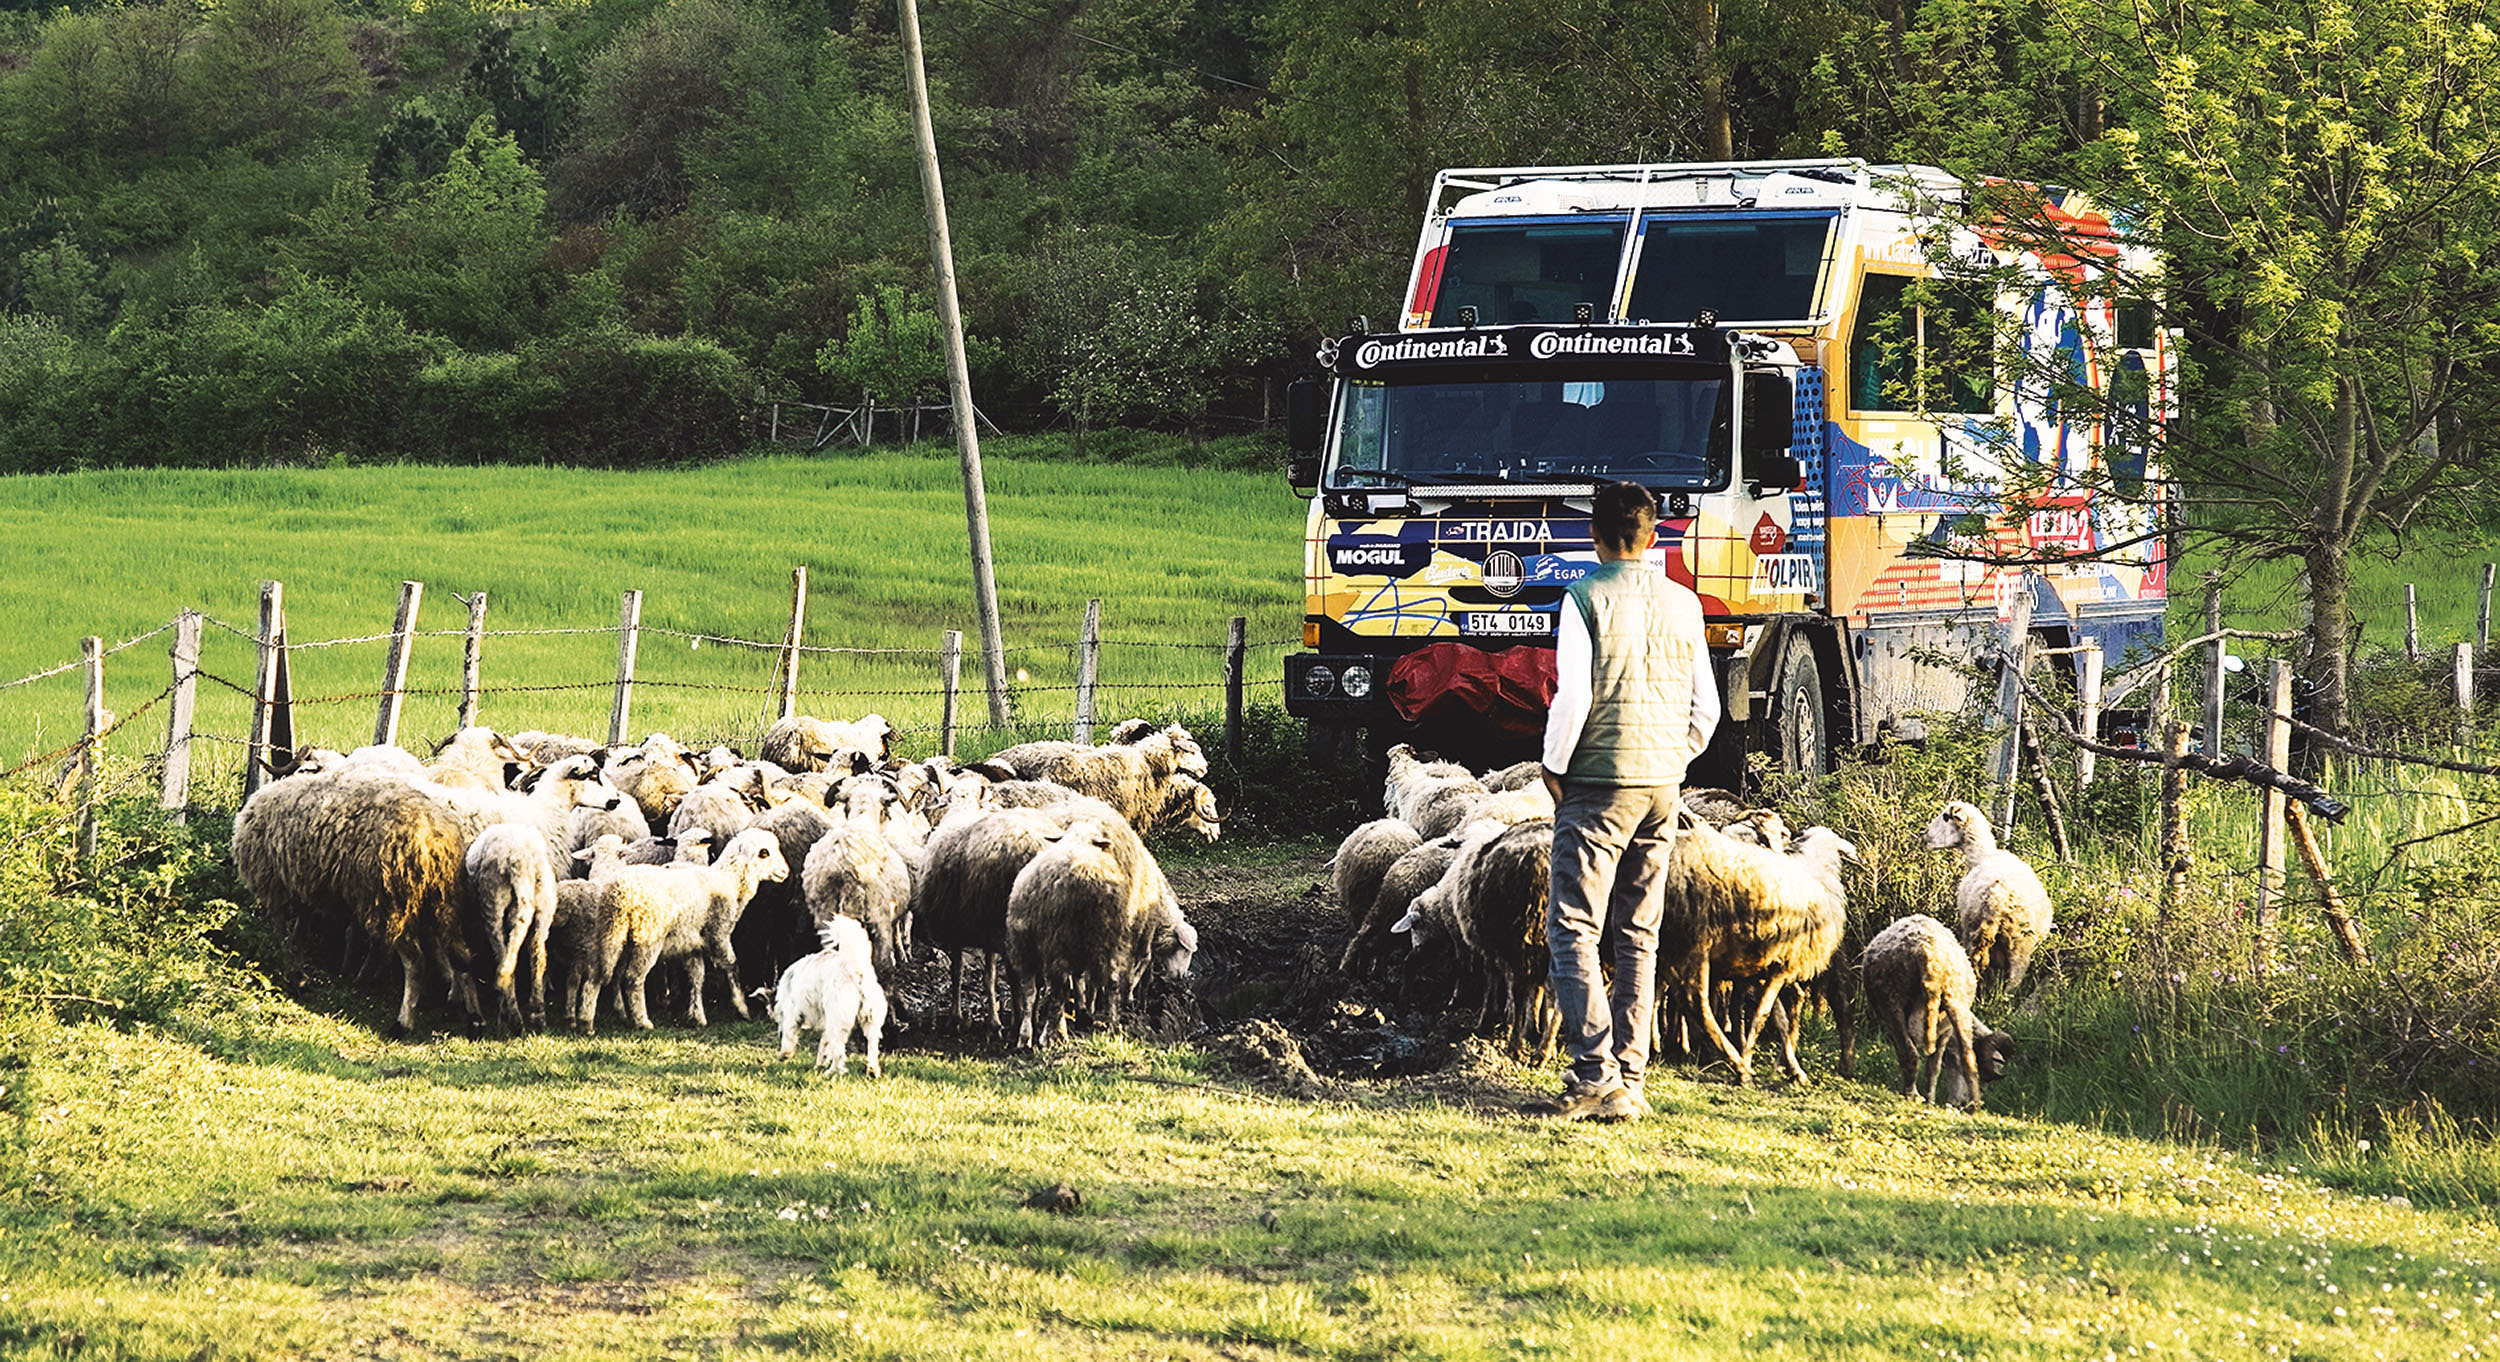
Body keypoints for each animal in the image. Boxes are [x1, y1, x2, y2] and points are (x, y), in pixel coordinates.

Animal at [770, 914, 890, 1074]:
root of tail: (855, 970)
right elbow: (824, 1046)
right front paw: (819, 1063)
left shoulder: (792, 1014)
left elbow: (788, 1038)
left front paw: (784, 1055)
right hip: (869, 1021)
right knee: (872, 1046)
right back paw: (872, 1070)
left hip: (838, 1023)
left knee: (839, 1053)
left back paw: (833, 1072)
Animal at [1660, 819, 1860, 1084]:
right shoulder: (1782, 966)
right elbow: (1763, 1015)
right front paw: (1750, 1059)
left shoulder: (1764, 967)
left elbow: (1776, 1015)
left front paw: (1785, 1065)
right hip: (1693, 944)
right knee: (1695, 1000)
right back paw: (1736, 1065)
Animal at [1860, 914, 2010, 1104]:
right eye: (1985, 1077)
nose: (1961, 1101)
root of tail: (1927, 955)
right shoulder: (1947, 1030)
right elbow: (1939, 1065)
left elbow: (1934, 1064)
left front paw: (1931, 1098)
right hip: (1954, 1001)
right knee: (1968, 1056)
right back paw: (1973, 1105)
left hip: (1891, 1001)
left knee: (1909, 1053)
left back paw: (1912, 1094)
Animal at [1930, 794, 2050, 989]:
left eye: (1945, 817)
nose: (1924, 836)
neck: (1981, 855)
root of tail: (1999, 897)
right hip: (2021, 946)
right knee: (2013, 981)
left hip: (1975, 932)